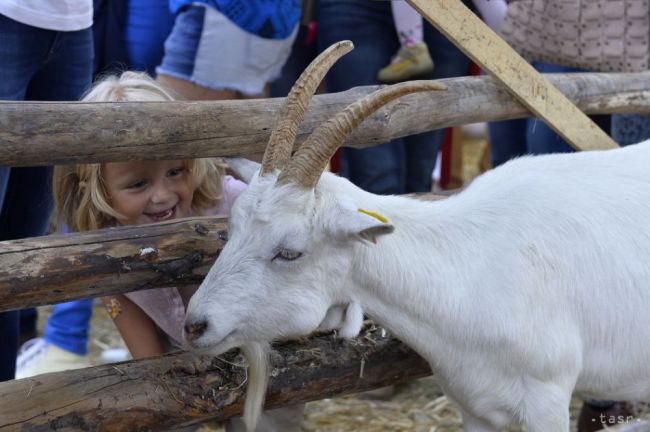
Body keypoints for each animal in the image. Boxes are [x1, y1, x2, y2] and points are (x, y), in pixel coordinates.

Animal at [185, 39, 648, 428]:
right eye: (230, 230)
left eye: (290, 252)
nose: (194, 326)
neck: (467, 270)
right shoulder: (474, 405)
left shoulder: (546, 400)